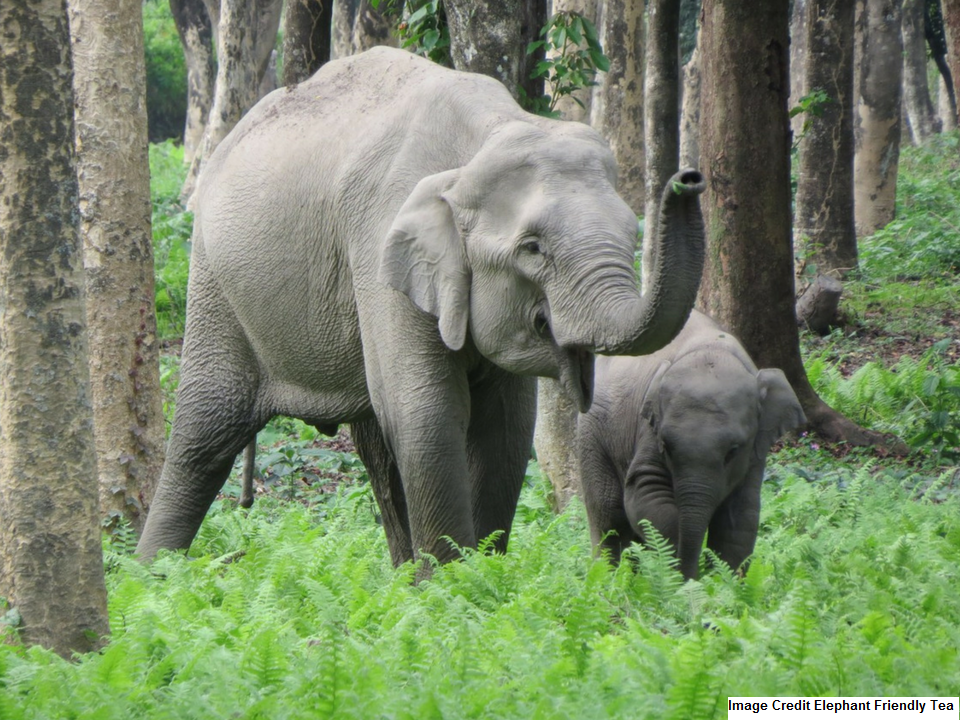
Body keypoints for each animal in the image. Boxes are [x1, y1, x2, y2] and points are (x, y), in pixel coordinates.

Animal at [136, 46, 707, 569]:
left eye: (632, 233)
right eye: (532, 248)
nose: (689, 179)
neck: (482, 141)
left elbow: (506, 427)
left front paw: (480, 578)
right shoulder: (377, 241)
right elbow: (427, 414)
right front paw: (453, 587)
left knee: (376, 449)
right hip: (214, 281)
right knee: (205, 437)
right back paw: (151, 581)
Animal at [576, 310, 805, 580]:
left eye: (733, 451)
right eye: (666, 446)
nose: (694, 575)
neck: (711, 350)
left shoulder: (755, 453)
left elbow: (741, 517)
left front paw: (723, 584)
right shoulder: (648, 429)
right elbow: (645, 493)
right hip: (592, 436)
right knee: (608, 517)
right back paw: (609, 581)